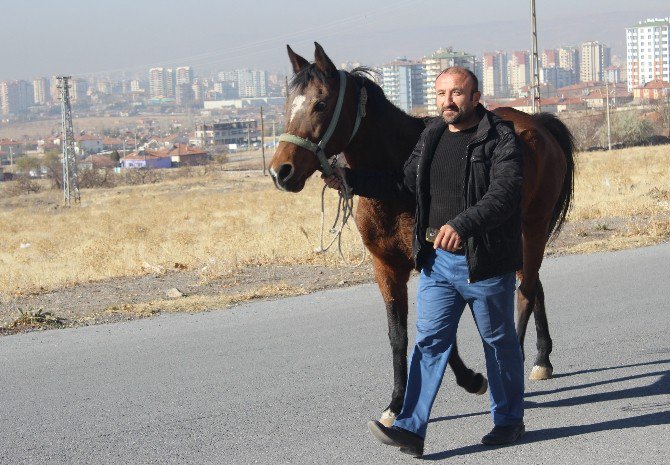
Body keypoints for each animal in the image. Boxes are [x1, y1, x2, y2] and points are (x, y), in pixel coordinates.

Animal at [270, 43, 576, 424]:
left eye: (321, 104)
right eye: (287, 104)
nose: (281, 171)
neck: (394, 178)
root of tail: (539, 124)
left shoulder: (431, 259)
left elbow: (438, 331)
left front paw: (472, 379)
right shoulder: (386, 266)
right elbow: (399, 333)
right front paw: (396, 402)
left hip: (532, 228)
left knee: (525, 293)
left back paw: (516, 364)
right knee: (534, 289)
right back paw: (541, 359)